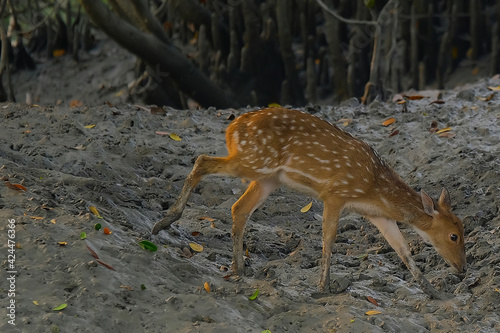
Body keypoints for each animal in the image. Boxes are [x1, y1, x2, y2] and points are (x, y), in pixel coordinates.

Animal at [151, 107, 464, 296]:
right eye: (454, 235)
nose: (462, 268)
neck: (375, 187)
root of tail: (232, 128)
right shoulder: (335, 193)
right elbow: (329, 237)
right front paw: (324, 286)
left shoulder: (378, 214)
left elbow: (403, 249)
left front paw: (432, 290)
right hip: (254, 160)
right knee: (203, 160)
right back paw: (163, 222)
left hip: (268, 178)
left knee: (238, 208)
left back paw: (239, 268)